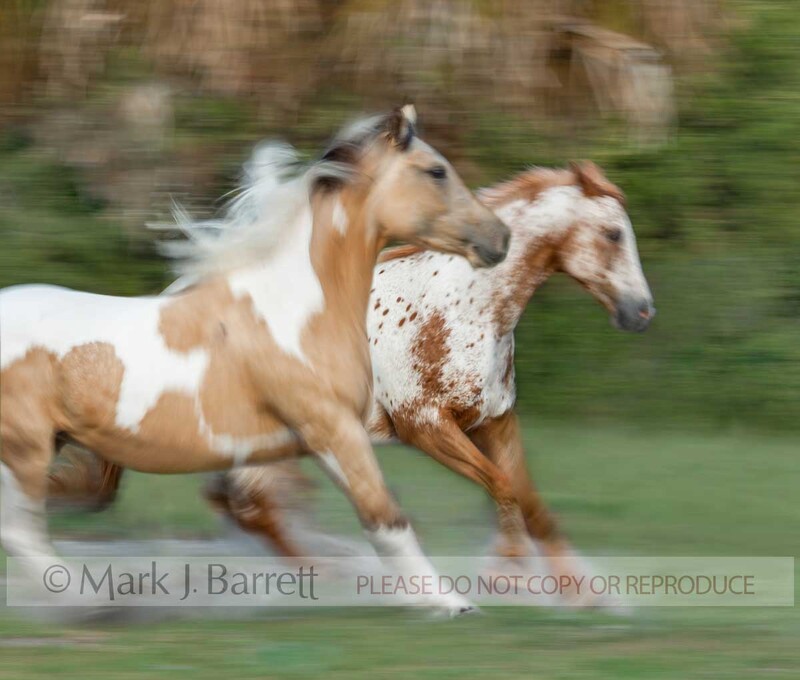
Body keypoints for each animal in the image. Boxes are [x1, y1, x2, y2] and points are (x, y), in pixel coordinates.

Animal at [0, 106, 511, 615]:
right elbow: (384, 515)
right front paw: (449, 603)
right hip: (25, 447)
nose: (499, 237)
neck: (294, 314)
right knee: (21, 531)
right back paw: (88, 600)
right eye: (436, 171)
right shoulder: (332, 427)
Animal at [47, 161, 654, 586]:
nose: (642, 312)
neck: (469, 307)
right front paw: (506, 570)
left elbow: (531, 503)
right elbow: (505, 490)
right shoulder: (425, 426)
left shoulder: (494, 421)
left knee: (240, 505)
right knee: (249, 505)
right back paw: (342, 572)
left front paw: (582, 594)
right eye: (613, 234)